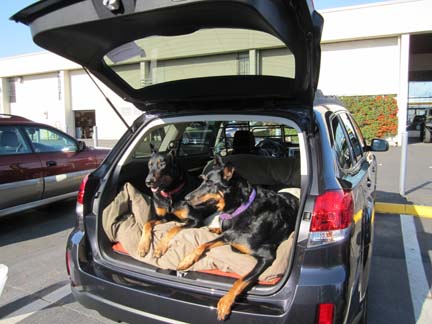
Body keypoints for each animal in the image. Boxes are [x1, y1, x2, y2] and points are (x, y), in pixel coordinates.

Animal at [177, 156, 298, 320]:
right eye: (202, 179)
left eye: (210, 183)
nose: (186, 198)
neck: (240, 208)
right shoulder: (228, 235)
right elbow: (204, 244)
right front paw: (186, 260)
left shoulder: (267, 256)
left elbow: (242, 279)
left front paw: (225, 302)